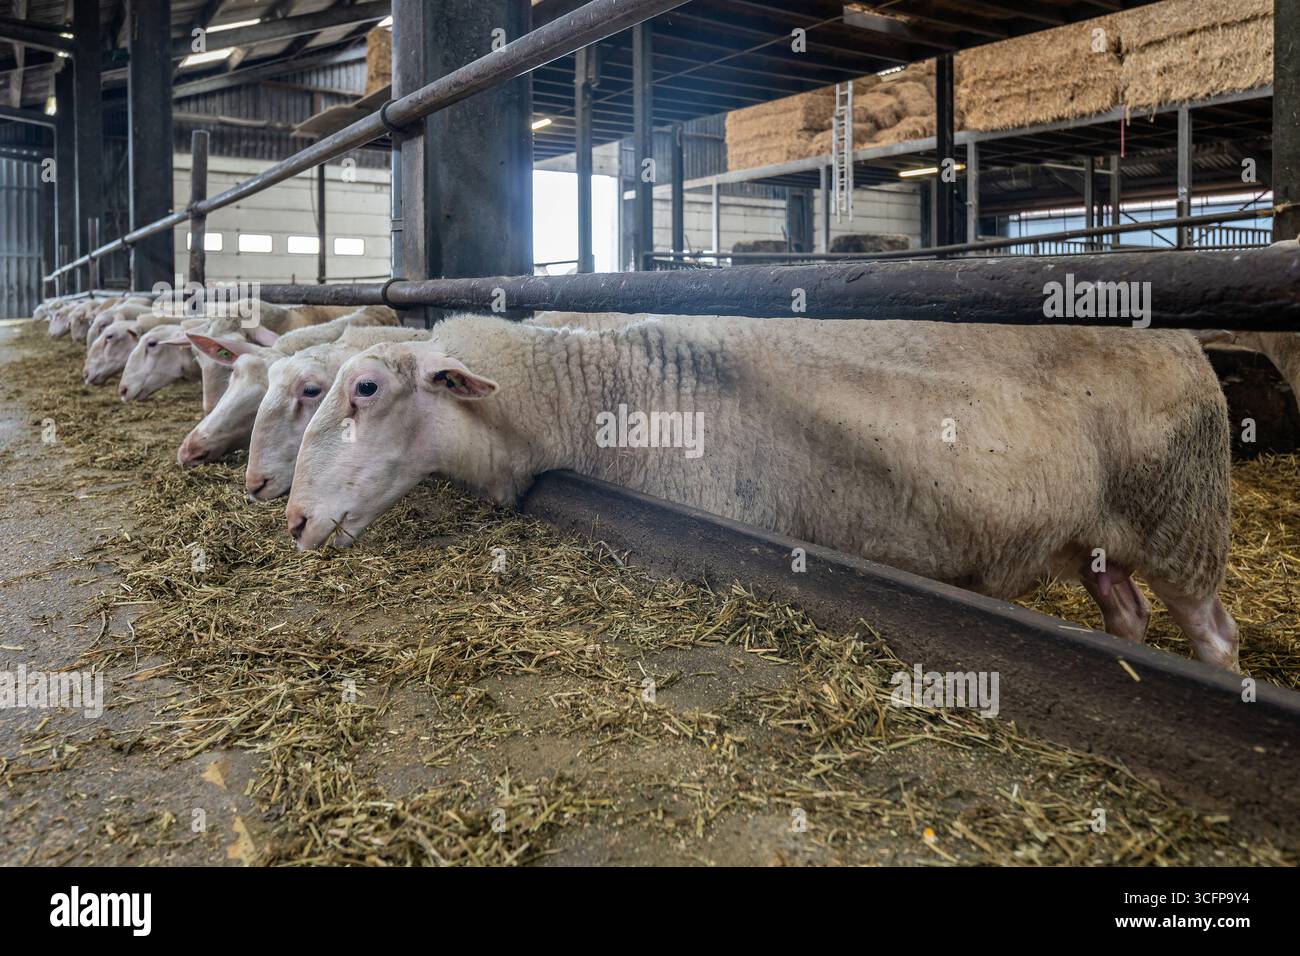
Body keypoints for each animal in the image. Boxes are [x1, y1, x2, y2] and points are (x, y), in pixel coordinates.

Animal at [285, 314, 1240, 671]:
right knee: (1126, 611)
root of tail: (1186, 340)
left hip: (1187, 521)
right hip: (1099, 538)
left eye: (364, 390)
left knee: (1215, 632)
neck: (611, 393)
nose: (293, 519)